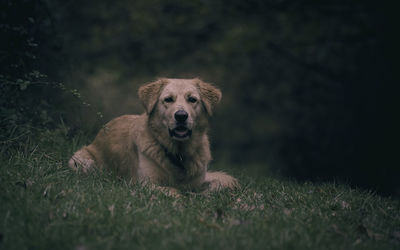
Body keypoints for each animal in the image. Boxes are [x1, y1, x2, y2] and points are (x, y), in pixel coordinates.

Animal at [69, 78, 238, 195]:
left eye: (192, 99)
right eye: (168, 99)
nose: (181, 116)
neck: (178, 153)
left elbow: (223, 183)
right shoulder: (142, 183)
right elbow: (174, 191)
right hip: (81, 162)